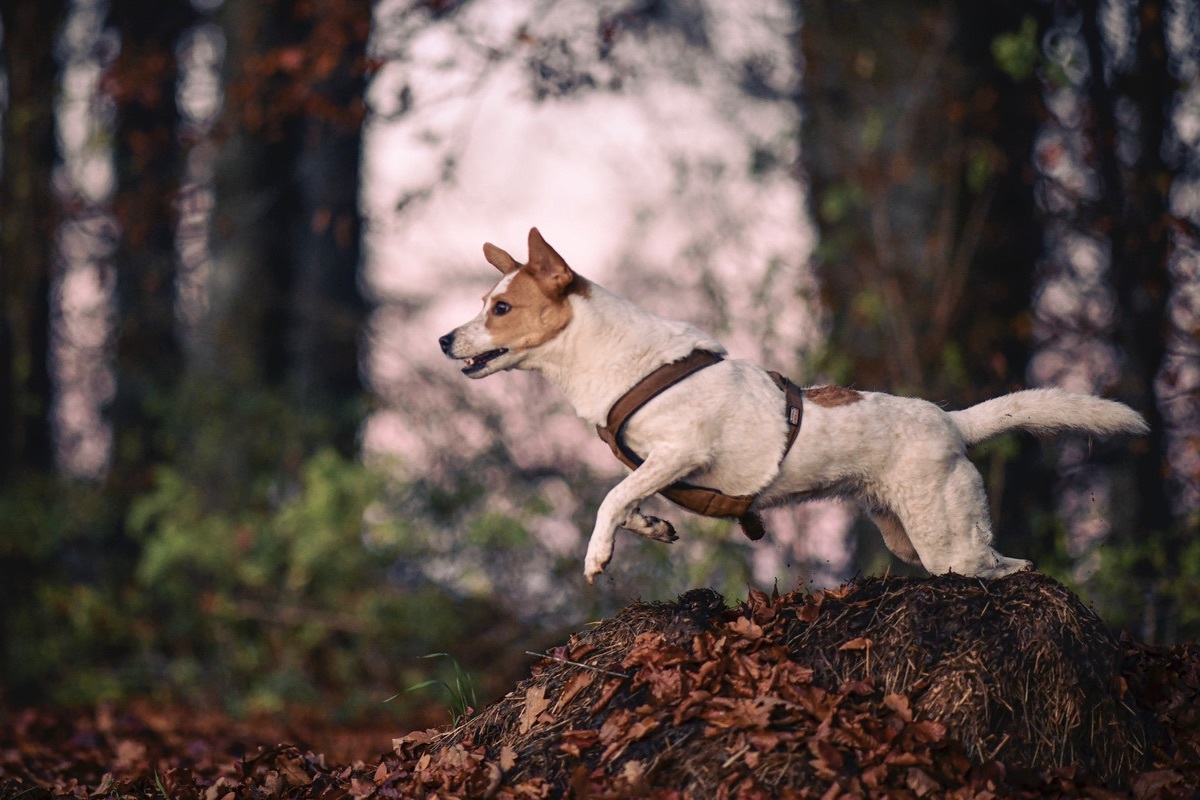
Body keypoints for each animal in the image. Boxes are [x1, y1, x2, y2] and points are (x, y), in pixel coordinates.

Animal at [436, 227, 1147, 585]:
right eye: (483, 303)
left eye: (501, 308)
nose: (444, 339)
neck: (616, 360)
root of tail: (950, 419)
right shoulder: (656, 466)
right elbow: (627, 499)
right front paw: (652, 527)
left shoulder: (678, 452)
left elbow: (610, 498)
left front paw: (597, 554)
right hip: (905, 537)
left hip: (947, 539)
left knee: (997, 566)